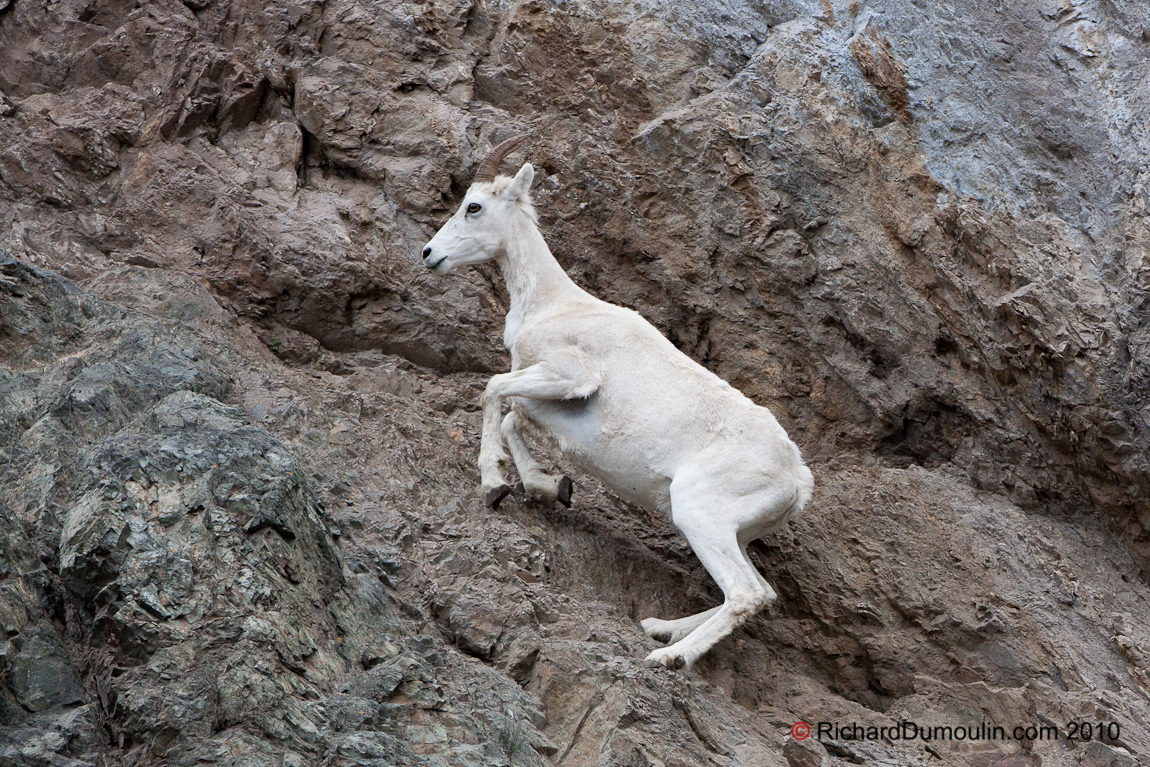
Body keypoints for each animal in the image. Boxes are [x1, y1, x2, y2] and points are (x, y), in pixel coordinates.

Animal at [418, 135, 814, 666]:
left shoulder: (569, 377)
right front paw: (552, 487)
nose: (429, 253)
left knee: (747, 593)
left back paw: (668, 657)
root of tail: (797, 481)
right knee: (757, 591)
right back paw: (660, 628)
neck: (552, 305)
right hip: (726, 530)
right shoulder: (545, 399)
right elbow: (511, 420)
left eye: (474, 206)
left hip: (698, 513)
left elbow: (493, 390)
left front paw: (492, 485)